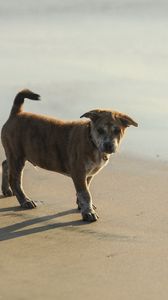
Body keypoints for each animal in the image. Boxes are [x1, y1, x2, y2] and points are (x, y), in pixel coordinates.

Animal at [1, 88, 138, 220]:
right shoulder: (78, 171)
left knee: (5, 164)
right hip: (17, 156)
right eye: (100, 130)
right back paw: (25, 201)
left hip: (14, 154)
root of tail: (16, 114)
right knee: (15, 180)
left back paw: (6, 190)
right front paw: (88, 212)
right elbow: (85, 194)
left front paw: (81, 206)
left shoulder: (87, 175)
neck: (91, 141)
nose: (109, 145)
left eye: (117, 131)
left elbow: (84, 190)